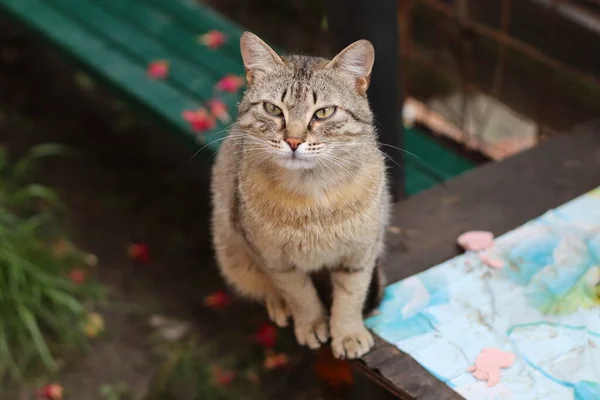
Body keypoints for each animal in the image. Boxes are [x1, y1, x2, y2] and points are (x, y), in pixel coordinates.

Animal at [211, 31, 390, 360]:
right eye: (272, 109)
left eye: (323, 112)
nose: (293, 141)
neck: (311, 196)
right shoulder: (275, 259)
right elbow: (300, 294)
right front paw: (311, 323)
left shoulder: (361, 253)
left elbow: (351, 296)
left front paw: (347, 333)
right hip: (231, 252)